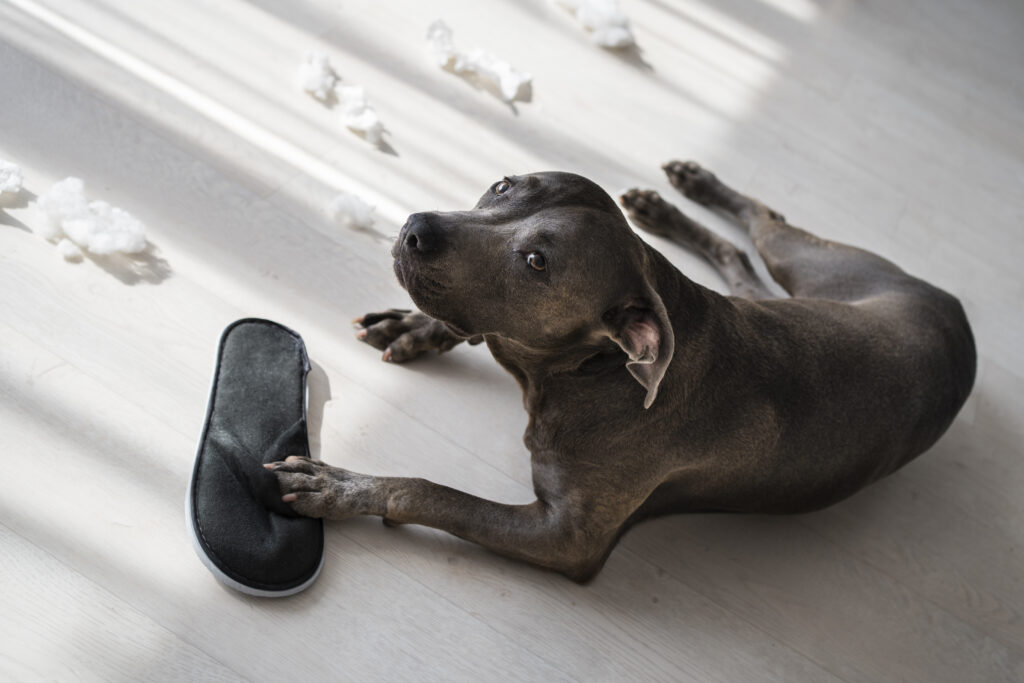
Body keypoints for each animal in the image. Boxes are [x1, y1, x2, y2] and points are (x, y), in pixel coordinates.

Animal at [264, 161, 974, 581]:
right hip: (791, 291)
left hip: (822, 267)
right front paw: (419, 328)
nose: (415, 227)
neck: (588, 371)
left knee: (767, 225)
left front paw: (343, 487)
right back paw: (677, 202)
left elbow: (429, 492)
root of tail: (958, 316)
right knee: (741, 252)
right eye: (503, 186)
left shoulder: (565, 539)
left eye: (538, 262)